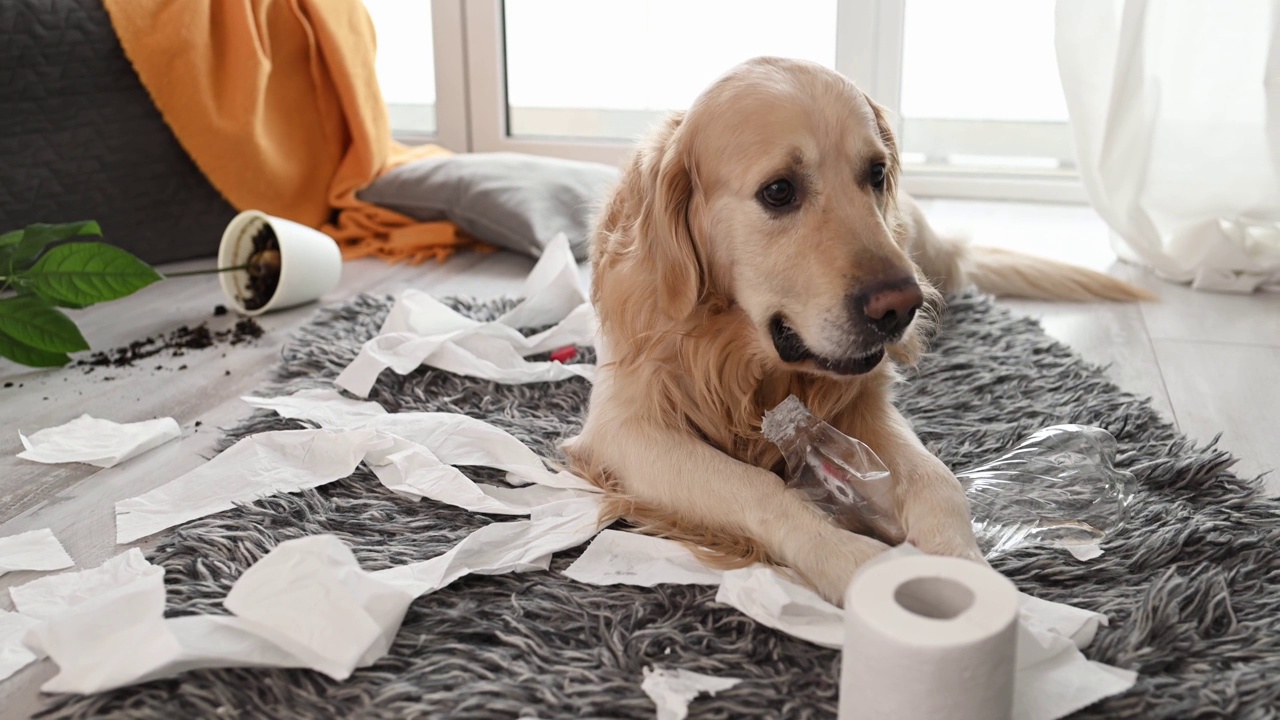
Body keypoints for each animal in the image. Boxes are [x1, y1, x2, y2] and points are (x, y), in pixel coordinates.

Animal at [560, 57, 1152, 604]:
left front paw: (966, 568)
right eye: (779, 190)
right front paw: (854, 560)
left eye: (875, 173)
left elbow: (937, 480)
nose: (901, 309)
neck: (741, 359)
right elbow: (757, 487)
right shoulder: (625, 429)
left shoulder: (866, 401)